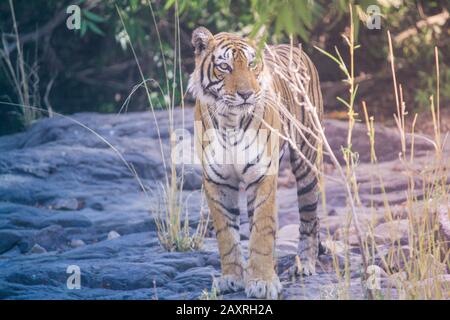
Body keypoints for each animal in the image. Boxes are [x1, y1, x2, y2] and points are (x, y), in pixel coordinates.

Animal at [187, 26, 324, 298]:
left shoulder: (262, 175)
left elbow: (261, 230)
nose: (246, 94)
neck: (230, 121)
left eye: (251, 64)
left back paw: (304, 265)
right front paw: (231, 278)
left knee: (308, 219)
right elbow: (227, 236)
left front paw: (262, 282)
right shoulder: (217, 181)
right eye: (225, 66)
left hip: (307, 162)